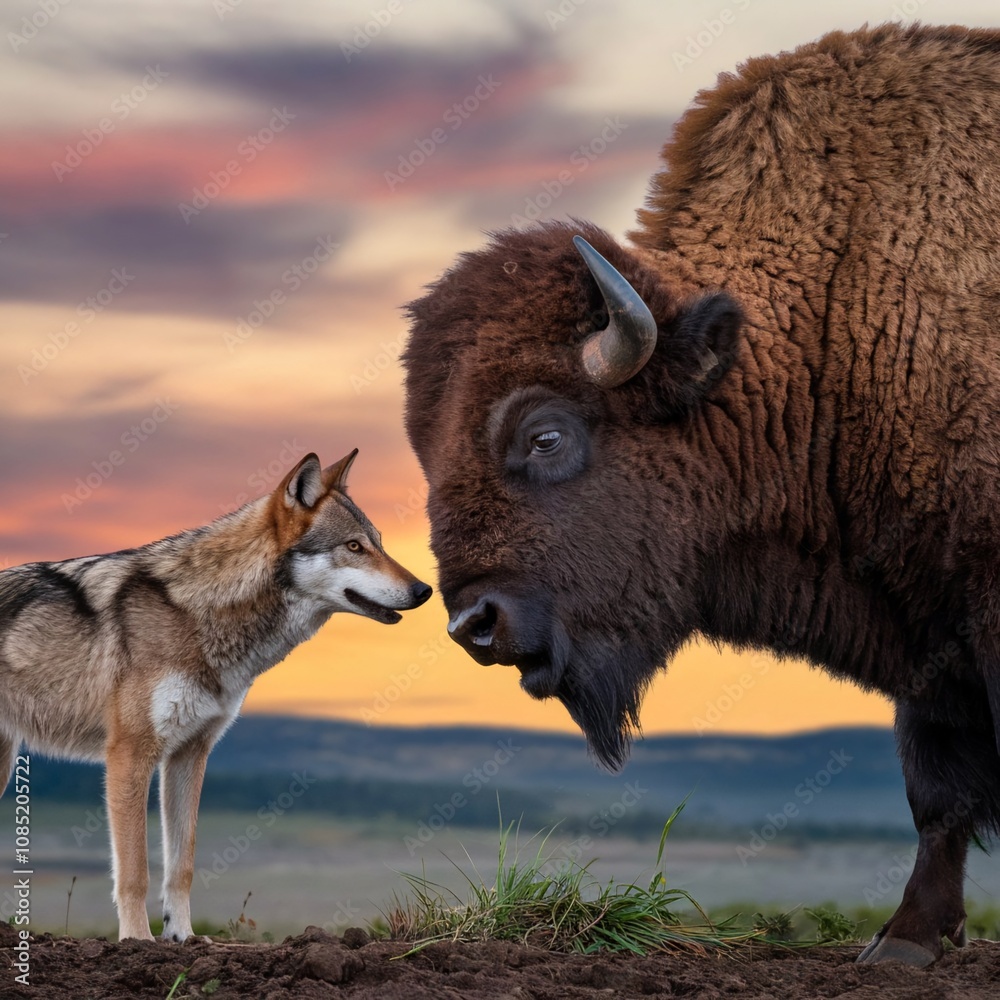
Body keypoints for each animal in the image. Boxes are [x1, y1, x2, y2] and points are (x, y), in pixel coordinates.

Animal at [0, 449, 431, 942]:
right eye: (354, 546)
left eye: (379, 542)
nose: (424, 590)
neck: (199, 610)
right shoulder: (130, 754)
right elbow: (135, 870)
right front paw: (138, 941)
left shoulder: (189, 753)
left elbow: (181, 865)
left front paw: (182, 936)